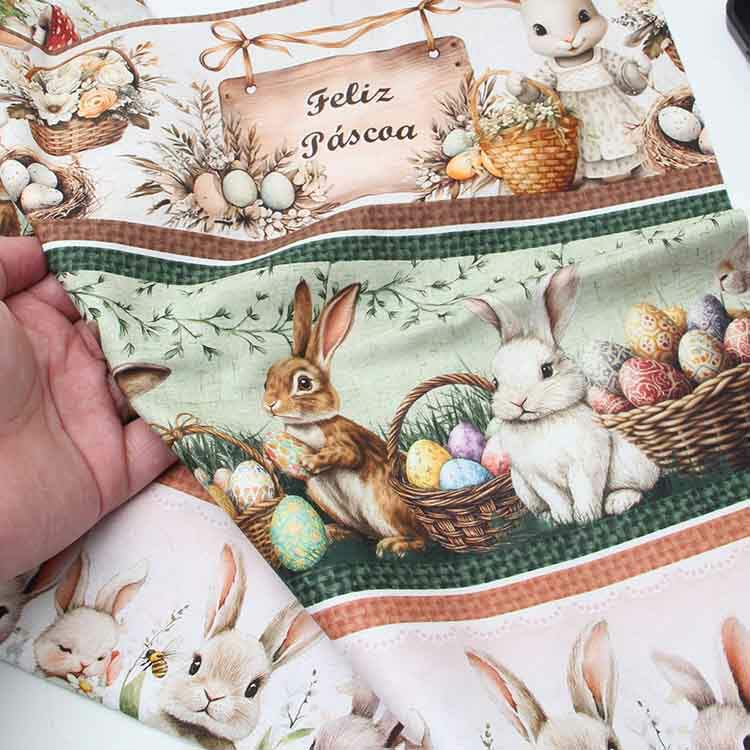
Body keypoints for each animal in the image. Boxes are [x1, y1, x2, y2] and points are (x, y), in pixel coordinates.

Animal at [263, 280, 427, 558]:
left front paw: (311, 461)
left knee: (424, 540)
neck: (307, 425)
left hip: (385, 506)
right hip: (324, 497)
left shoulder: (345, 439)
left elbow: (348, 455)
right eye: (266, 381)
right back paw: (334, 532)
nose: (270, 404)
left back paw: (394, 546)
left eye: (304, 383)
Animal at [462, 0, 651, 182]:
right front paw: (516, 83)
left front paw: (641, 64)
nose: (569, 39)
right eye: (539, 30)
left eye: (584, 16)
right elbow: (537, 93)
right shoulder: (547, 74)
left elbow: (625, 78)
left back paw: (622, 176)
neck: (576, 61)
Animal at [466, 265, 660, 525]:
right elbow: (556, 498)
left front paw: (586, 517)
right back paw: (548, 518)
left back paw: (618, 502)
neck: (540, 422)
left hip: (635, 464)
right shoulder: (535, 476)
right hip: (522, 486)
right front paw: (564, 519)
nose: (518, 402)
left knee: (640, 488)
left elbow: (584, 490)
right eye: (496, 382)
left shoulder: (585, 462)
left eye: (547, 370)